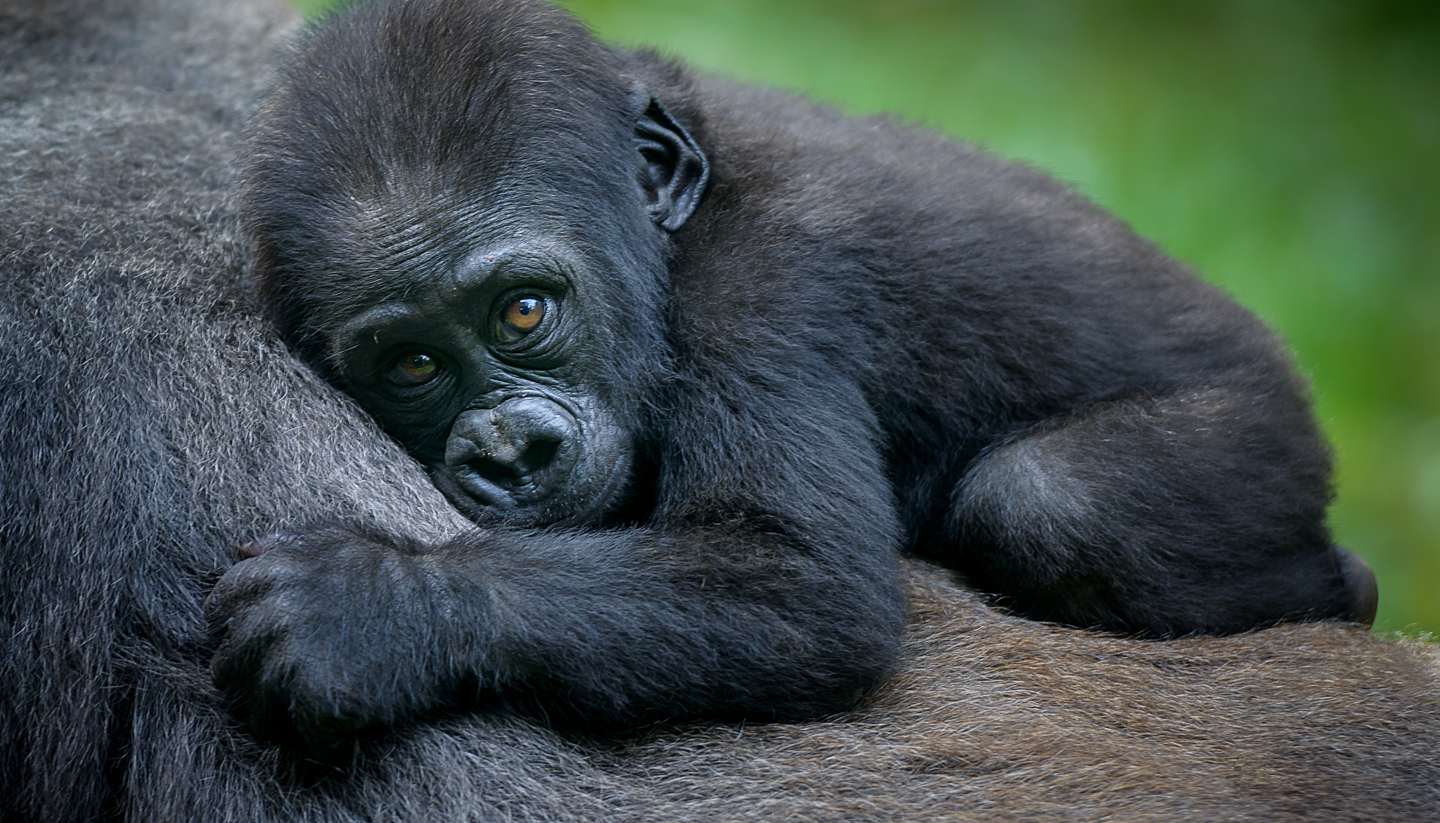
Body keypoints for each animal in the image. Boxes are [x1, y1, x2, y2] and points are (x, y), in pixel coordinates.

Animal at [2, 0, 1440, 817]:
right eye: (408, 365)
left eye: (522, 312)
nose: (508, 450)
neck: (669, 222)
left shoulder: (765, 295)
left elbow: (804, 589)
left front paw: (377, 607)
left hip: (1254, 429)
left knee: (1055, 504)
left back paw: (1344, 583)